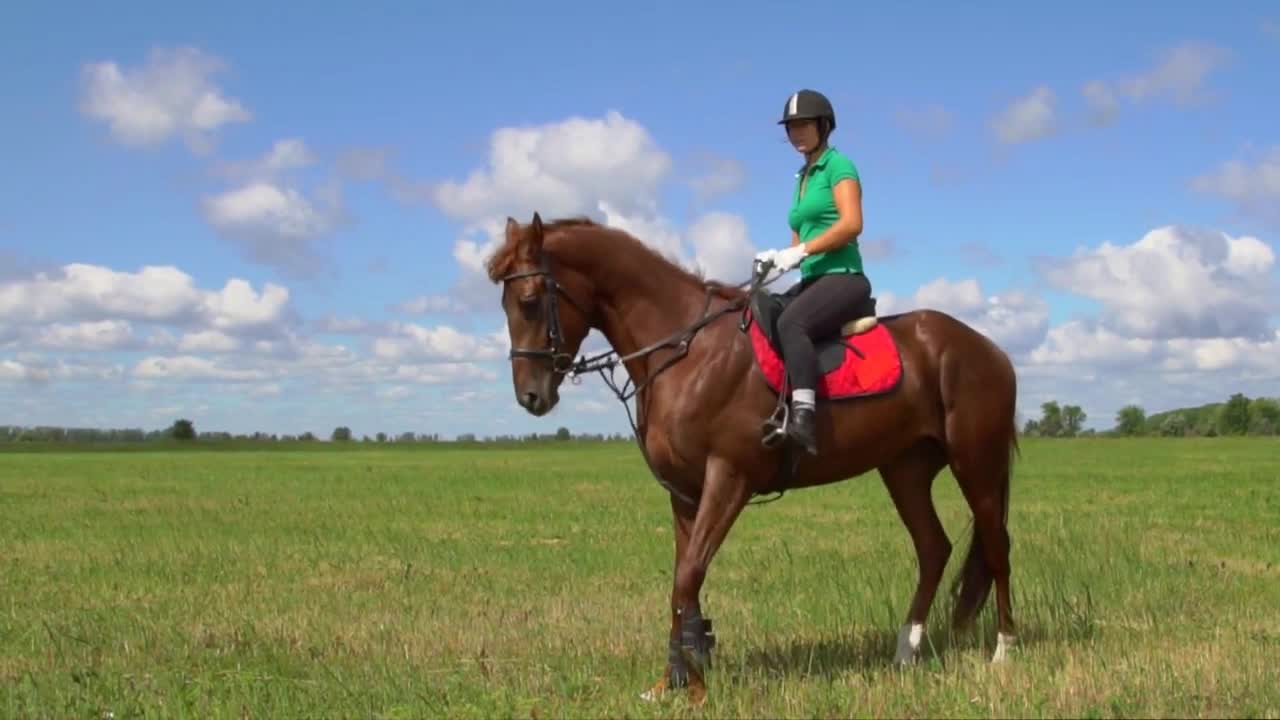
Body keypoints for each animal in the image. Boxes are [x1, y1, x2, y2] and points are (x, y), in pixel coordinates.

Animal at [486, 210, 1018, 702]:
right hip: (905, 468)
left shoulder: (729, 479)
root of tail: (989, 349)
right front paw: (674, 678)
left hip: (977, 463)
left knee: (995, 546)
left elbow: (688, 577)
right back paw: (906, 651)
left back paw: (1003, 650)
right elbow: (682, 584)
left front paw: (693, 683)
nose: (530, 397)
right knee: (933, 548)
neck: (687, 350)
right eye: (505, 303)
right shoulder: (685, 493)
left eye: (529, 301)